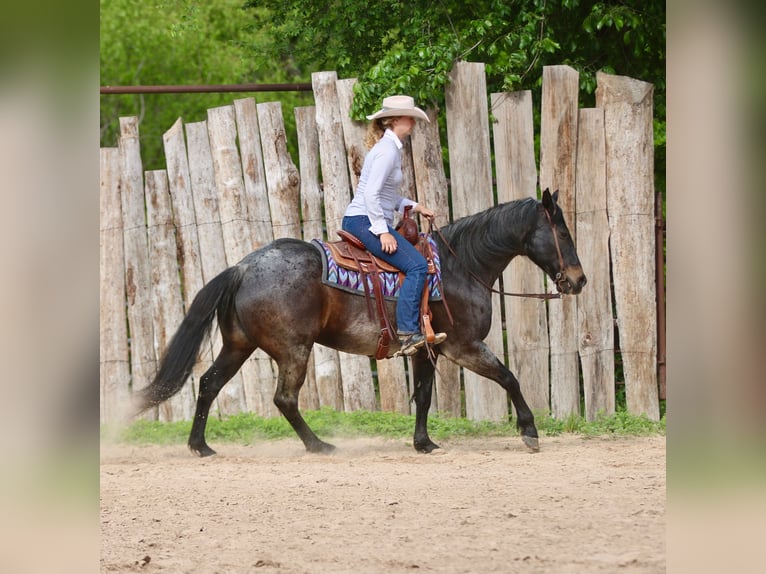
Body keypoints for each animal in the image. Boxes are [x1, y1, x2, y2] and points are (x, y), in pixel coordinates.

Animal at [134, 188, 586, 456]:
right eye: (563, 234)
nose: (579, 280)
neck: (460, 267)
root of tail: (242, 267)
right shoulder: (464, 346)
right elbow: (509, 377)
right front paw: (529, 431)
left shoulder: (426, 348)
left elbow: (424, 396)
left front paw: (424, 443)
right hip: (292, 349)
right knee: (284, 399)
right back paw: (318, 445)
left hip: (238, 345)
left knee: (209, 383)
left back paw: (201, 446)